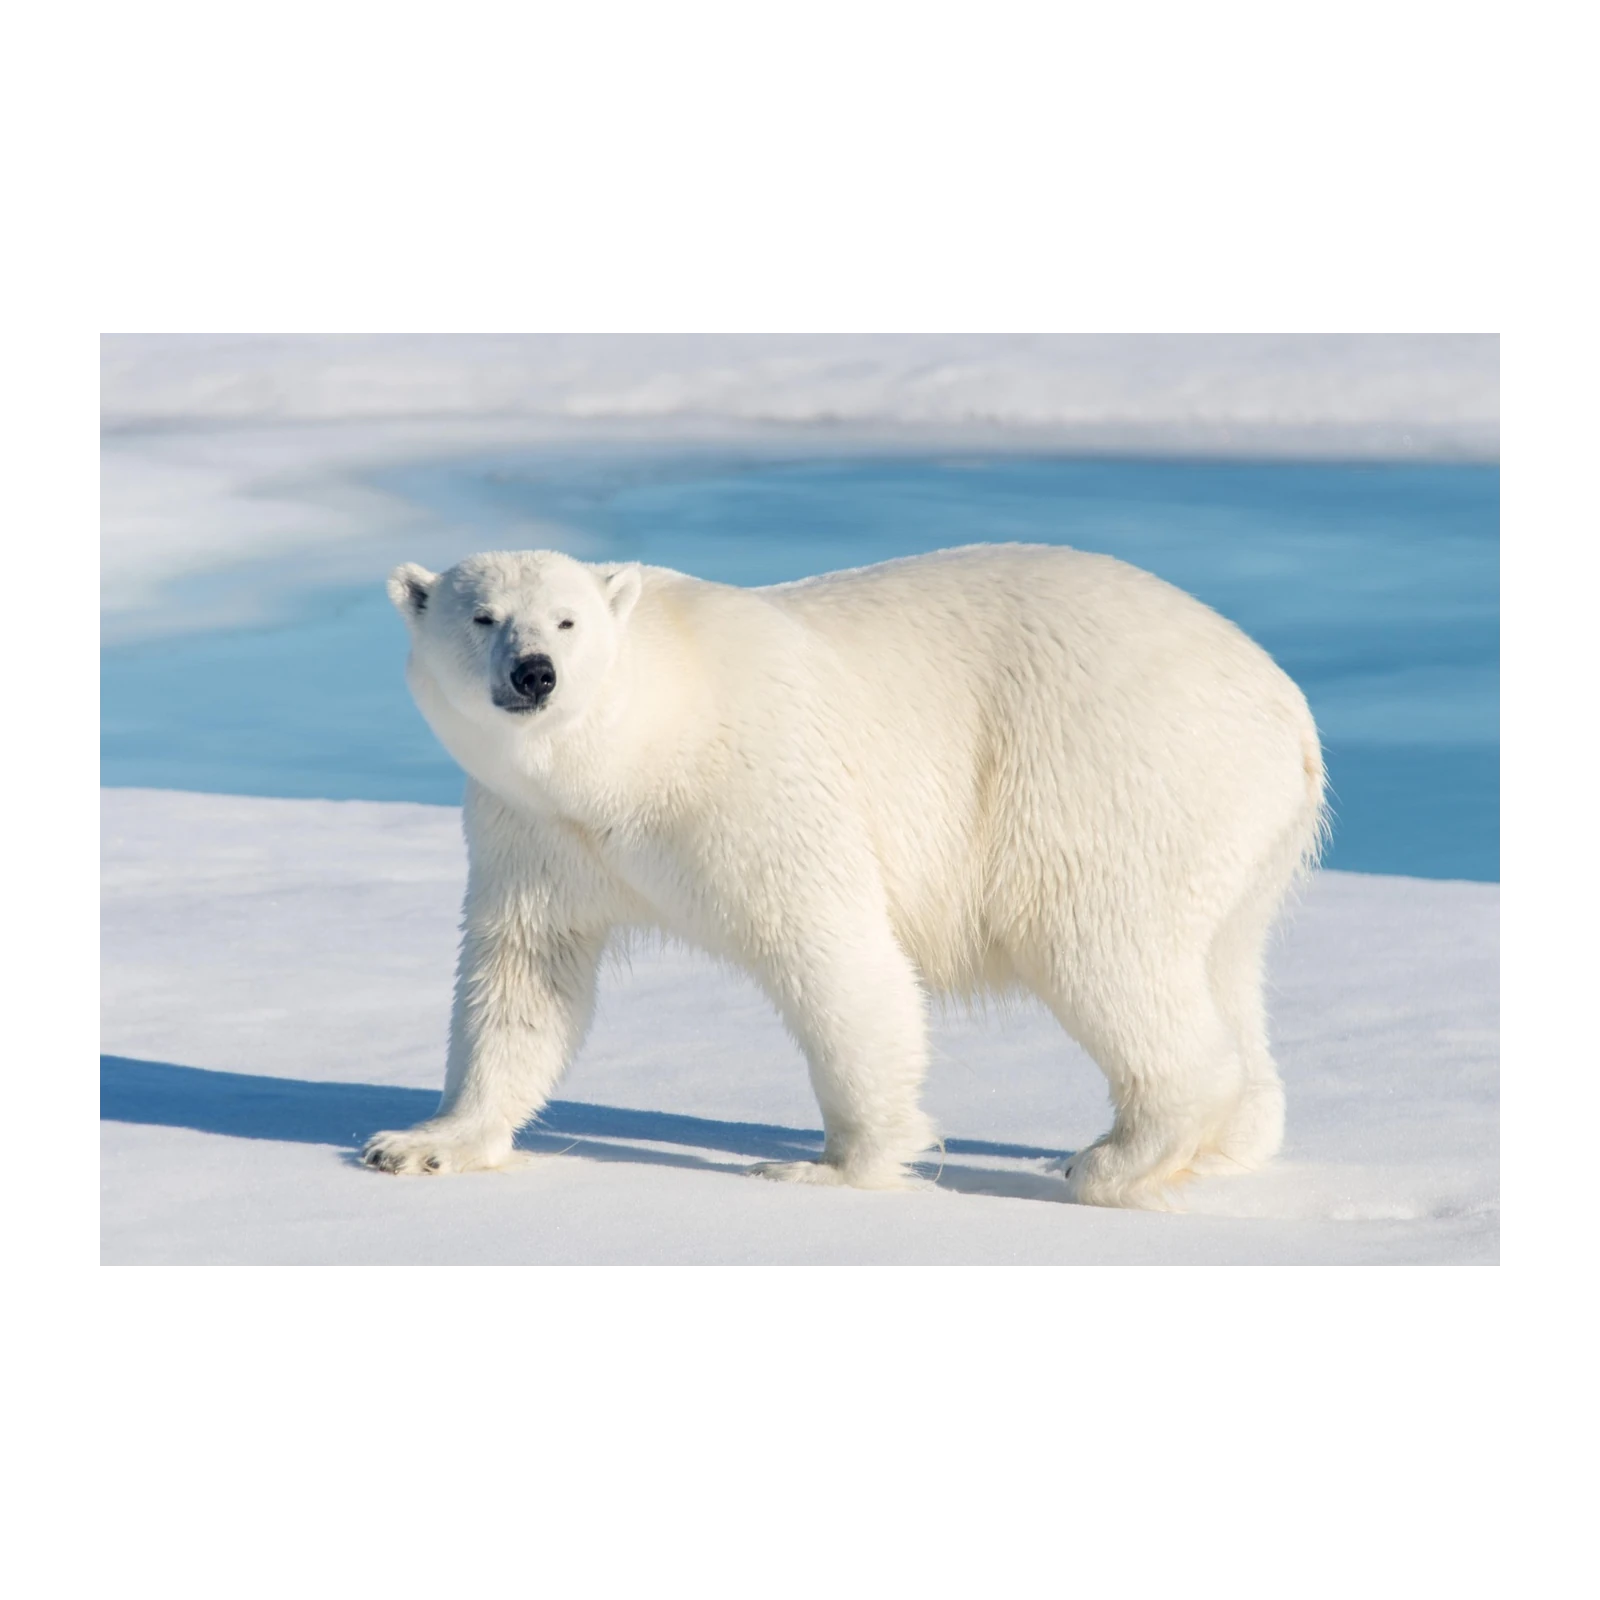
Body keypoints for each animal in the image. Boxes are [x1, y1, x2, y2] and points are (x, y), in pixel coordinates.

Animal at [363, 543, 1327, 1208]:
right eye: (483, 616)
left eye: (567, 620)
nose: (536, 674)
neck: (635, 749)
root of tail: (1287, 706)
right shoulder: (535, 831)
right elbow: (524, 975)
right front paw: (421, 1143)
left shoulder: (756, 785)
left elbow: (834, 953)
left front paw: (830, 1167)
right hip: (1237, 833)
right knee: (1222, 963)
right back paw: (1229, 1143)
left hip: (1109, 775)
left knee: (1102, 948)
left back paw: (1112, 1158)